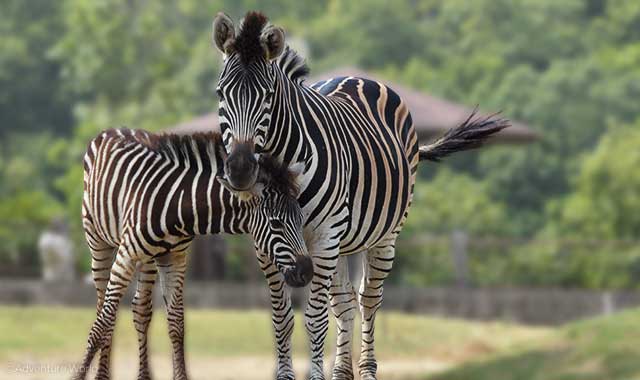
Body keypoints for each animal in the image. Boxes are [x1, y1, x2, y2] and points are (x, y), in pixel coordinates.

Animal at [72, 128, 310, 380]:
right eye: (276, 224)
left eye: (301, 219)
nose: (307, 271)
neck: (177, 203)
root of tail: (114, 130)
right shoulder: (126, 254)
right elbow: (102, 324)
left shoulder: (174, 257)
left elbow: (176, 324)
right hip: (98, 242)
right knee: (102, 306)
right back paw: (102, 374)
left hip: (148, 259)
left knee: (141, 310)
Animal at [215, 11, 510, 380]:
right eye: (221, 93)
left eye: (267, 96)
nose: (240, 170)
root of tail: (358, 78)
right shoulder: (268, 242)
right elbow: (282, 319)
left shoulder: (324, 236)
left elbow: (315, 318)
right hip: (342, 243)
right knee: (343, 302)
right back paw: (342, 371)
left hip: (381, 237)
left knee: (367, 298)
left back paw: (367, 369)